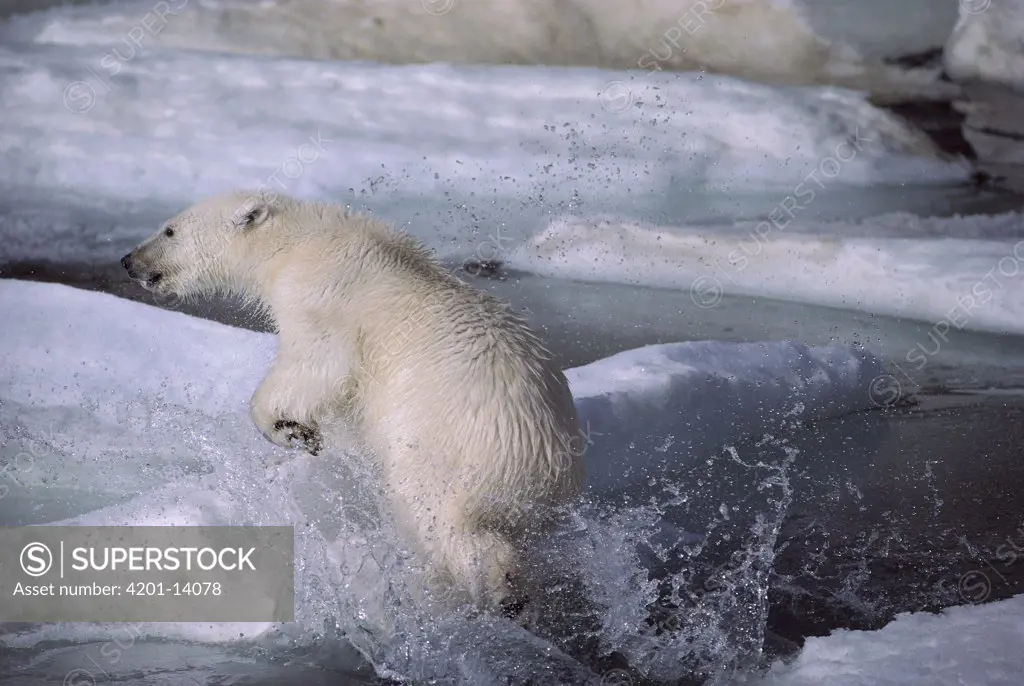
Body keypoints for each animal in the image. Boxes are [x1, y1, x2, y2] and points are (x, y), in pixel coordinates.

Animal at [119, 190, 585, 614]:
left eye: (169, 229)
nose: (127, 260)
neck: (298, 242)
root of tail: (546, 457)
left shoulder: (324, 297)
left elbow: (316, 364)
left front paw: (290, 430)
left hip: (451, 448)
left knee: (439, 516)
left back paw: (484, 589)